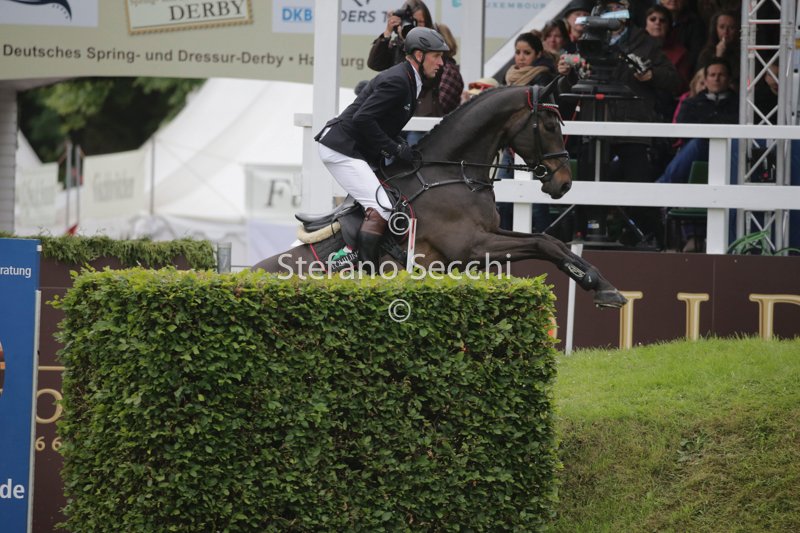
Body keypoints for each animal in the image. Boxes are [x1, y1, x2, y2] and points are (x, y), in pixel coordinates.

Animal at [253, 83, 627, 309]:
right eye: (549, 126)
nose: (563, 183)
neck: (452, 173)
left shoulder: (490, 233)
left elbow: (550, 241)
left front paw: (603, 284)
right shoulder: (472, 247)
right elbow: (542, 244)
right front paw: (597, 283)